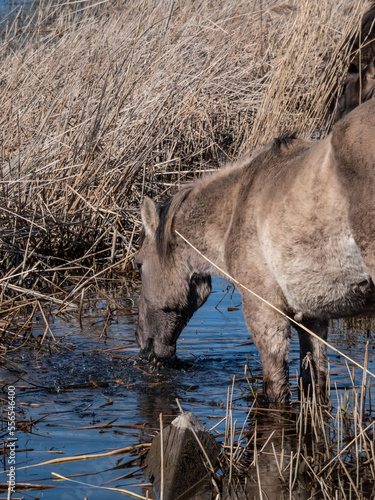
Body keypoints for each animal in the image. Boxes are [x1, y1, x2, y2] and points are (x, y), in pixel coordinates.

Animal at [137, 98, 375, 406]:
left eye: (138, 265)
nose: (143, 345)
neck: (235, 207)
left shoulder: (264, 312)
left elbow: (276, 389)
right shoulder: (313, 319)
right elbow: (314, 383)